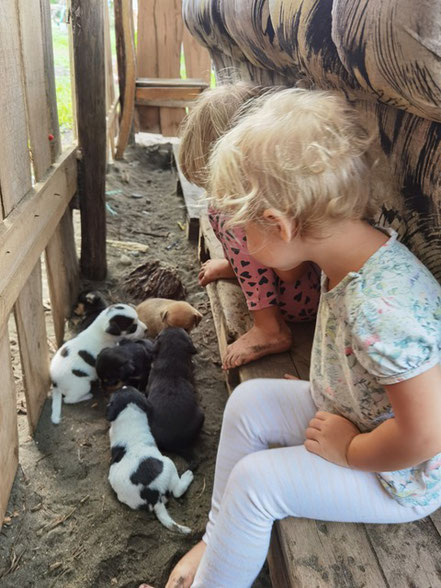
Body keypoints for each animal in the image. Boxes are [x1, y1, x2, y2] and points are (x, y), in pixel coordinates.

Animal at [105, 386, 193, 532]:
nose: (124, 386)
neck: (128, 412)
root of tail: (152, 495)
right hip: (169, 464)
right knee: (176, 491)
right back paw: (188, 475)